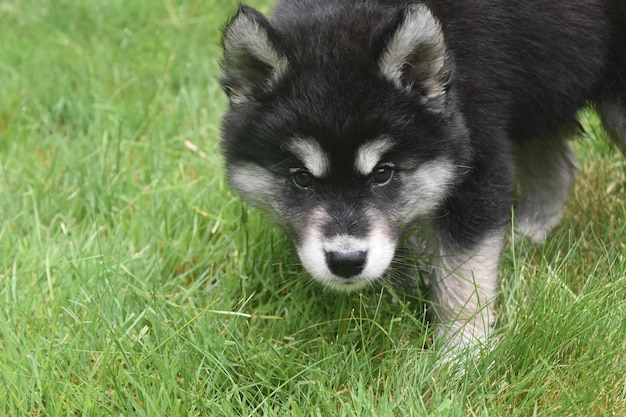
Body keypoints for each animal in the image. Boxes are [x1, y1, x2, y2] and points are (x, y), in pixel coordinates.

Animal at [218, 0, 620, 344]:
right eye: (301, 177)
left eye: (383, 173)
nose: (346, 262)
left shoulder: (477, 161)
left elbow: (465, 270)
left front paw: (462, 353)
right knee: (557, 165)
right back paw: (528, 232)